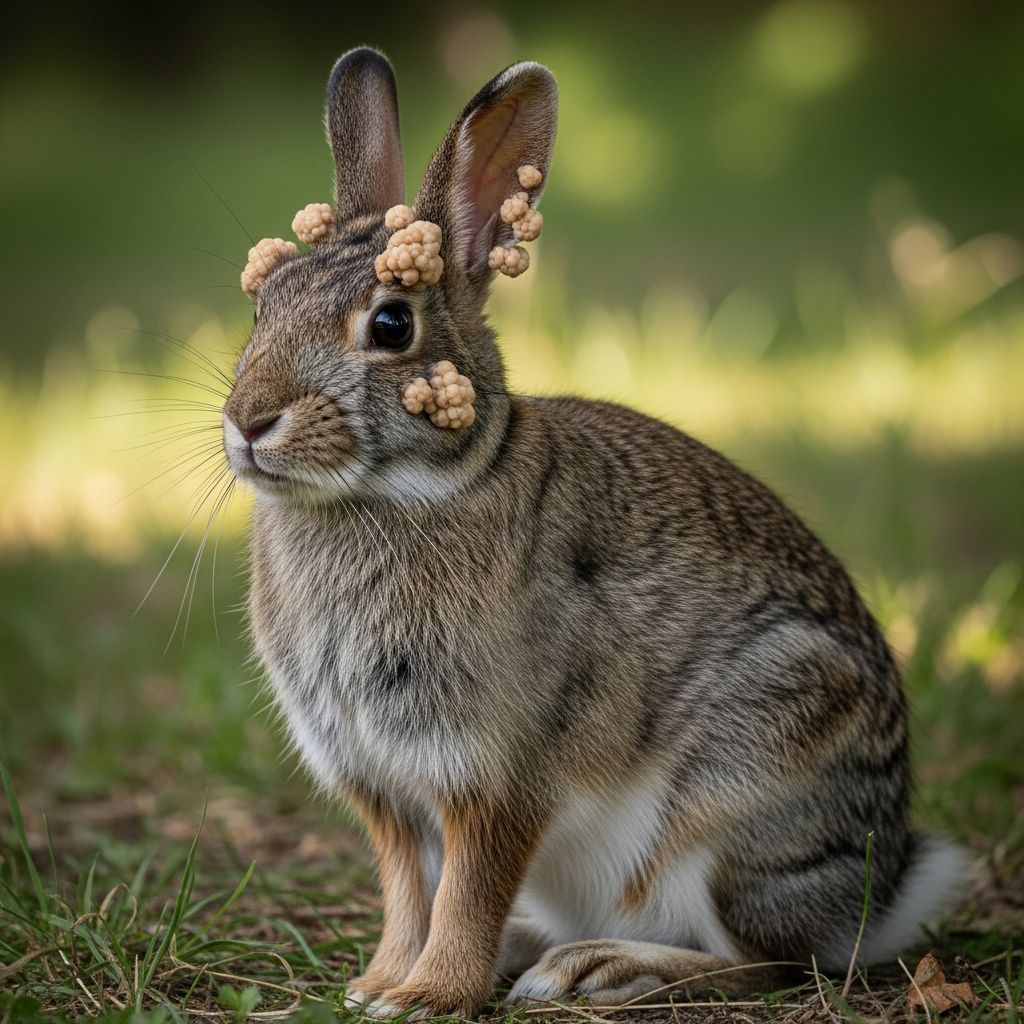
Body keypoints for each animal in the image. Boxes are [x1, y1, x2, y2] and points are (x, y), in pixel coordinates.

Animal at [220, 47, 966, 1019]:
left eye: (391, 324)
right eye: (262, 306)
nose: (248, 421)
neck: (399, 491)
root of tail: (881, 887)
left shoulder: (498, 774)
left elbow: (470, 886)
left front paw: (430, 995)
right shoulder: (382, 787)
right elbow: (409, 888)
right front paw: (382, 981)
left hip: (739, 802)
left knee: (768, 961)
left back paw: (603, 968)